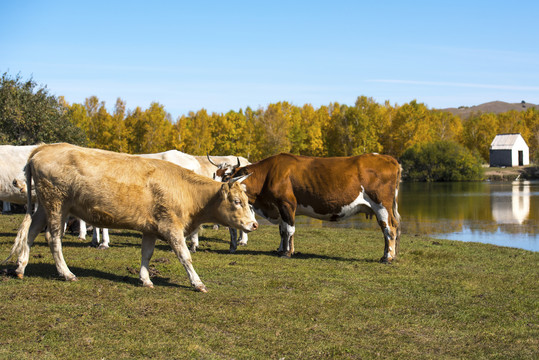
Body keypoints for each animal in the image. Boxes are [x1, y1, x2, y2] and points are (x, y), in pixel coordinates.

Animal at [3, 142, 258, 292]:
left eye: (247, 201)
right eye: (237, 201)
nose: (254, 224)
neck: (185, 188)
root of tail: (44, 148)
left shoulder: (151, 228)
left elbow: (146, 254)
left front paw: (145, 279)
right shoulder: (171, 227)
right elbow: (185, 256)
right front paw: (197, 283)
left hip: (45, 206)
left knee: (31, 232)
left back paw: (21, 267)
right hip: (57, 204)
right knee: (53, 237)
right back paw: (66, 273)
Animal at [218, 152, 400, 262]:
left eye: (230, 180)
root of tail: (388, 158)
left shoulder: (287, 203)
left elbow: (289, 229)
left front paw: (287, 253)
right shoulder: (281, 208)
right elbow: (283, 230)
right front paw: (282, 249)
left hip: (382, 205)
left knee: (389, 228)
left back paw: (387, 257)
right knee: (392, 228)